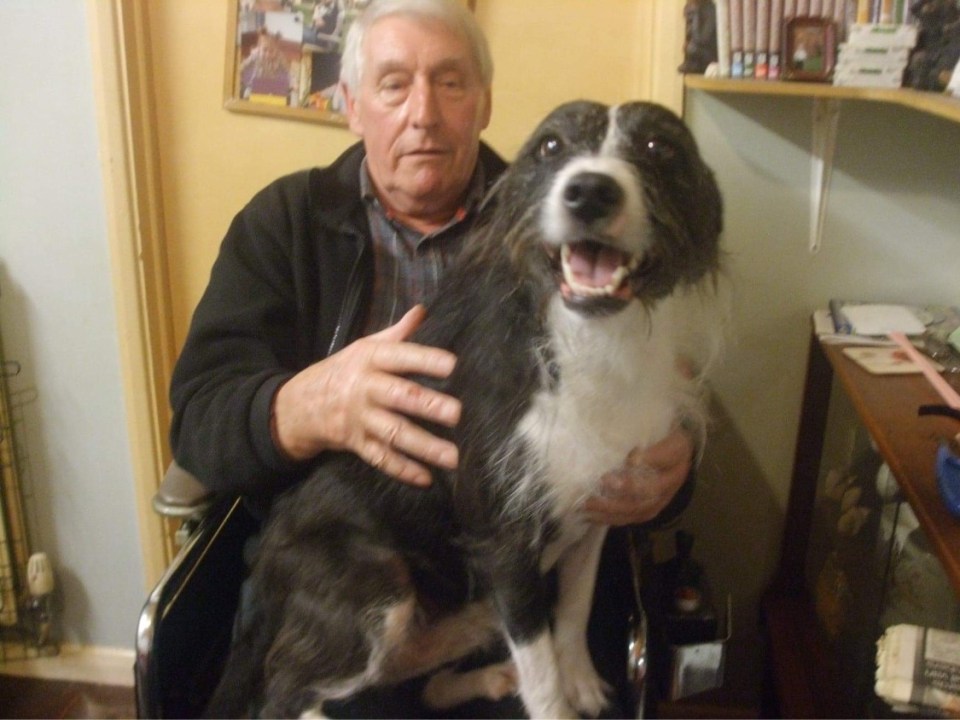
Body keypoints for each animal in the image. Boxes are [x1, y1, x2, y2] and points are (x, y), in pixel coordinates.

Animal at [208, 101, 720, 720]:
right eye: (551, 147)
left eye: (657, 148)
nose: (590, 192)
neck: (586, 339)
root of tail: (263, 575)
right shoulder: (505, 543)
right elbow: (542, 673)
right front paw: (559, 694)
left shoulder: (599, 506)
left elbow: (574, 609)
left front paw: (581, 680)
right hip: (375, 583)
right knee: (283, 693)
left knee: (412, 675)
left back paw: (484, 666)